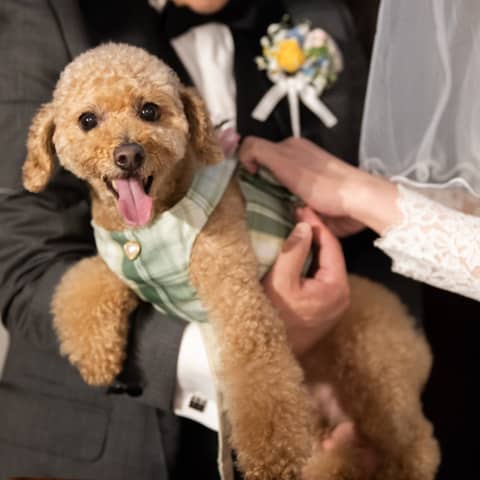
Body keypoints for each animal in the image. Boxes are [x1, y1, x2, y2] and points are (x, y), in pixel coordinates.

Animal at [24, 43, 440, 478]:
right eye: (87, 120)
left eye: (149, 111)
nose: (128, 154)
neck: (150, 227)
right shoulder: (118, 263)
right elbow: (81, 284)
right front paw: (97, 362)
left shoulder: (235, 295)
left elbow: (258, 368)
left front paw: (272, 457)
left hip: (376, 370)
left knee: (415, 443)